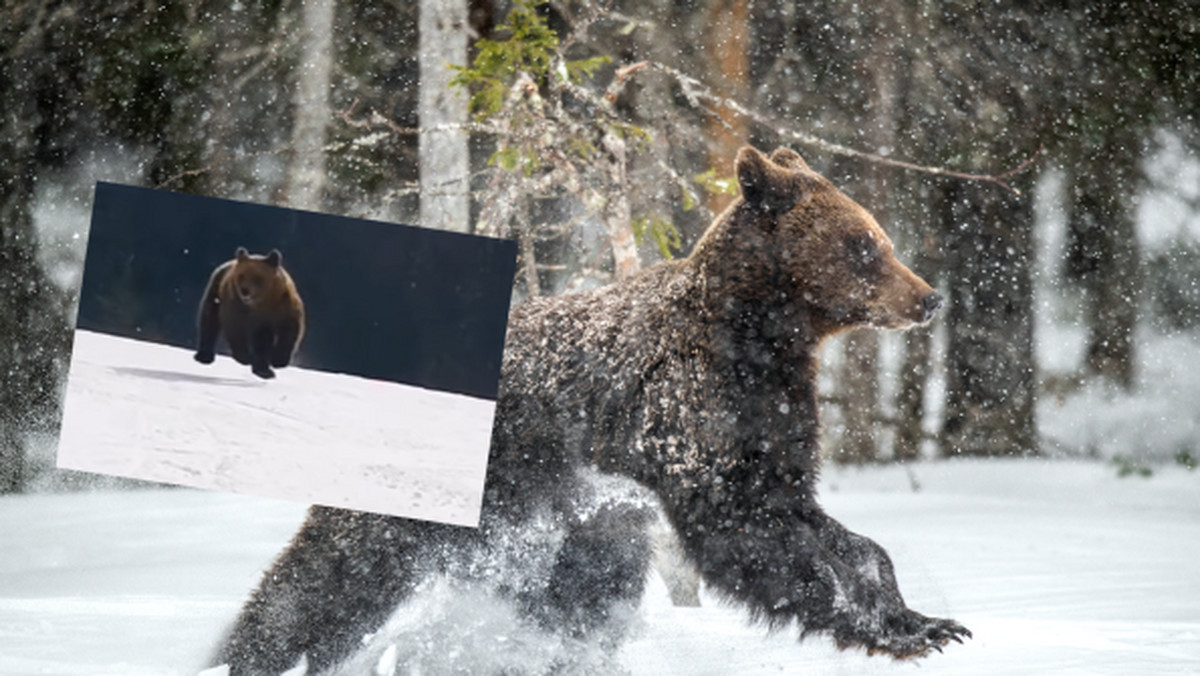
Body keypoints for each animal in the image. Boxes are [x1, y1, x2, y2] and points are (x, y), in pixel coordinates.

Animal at [194, 246, 307, 381]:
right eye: (241, 276)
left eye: (257, 277)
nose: (245, 290)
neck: (261, 303)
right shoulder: (237, 307)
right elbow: (235, 330)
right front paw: (246, 357)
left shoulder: (283, 308)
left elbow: (290, 331)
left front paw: (277, 360)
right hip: (216, 291)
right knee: (209, 321)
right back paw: (204, 356)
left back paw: (264, 370)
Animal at [213, 145, 964, 672]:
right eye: (864, 246)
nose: (928, 297)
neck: (755, 339)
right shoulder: (685, 421)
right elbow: (749, 532)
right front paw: (883, 626)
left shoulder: (771, 422)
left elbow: (829, 527)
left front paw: (926, 622)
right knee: (327, 576)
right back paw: (247, 654)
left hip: (554, 519)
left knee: (575, 590)